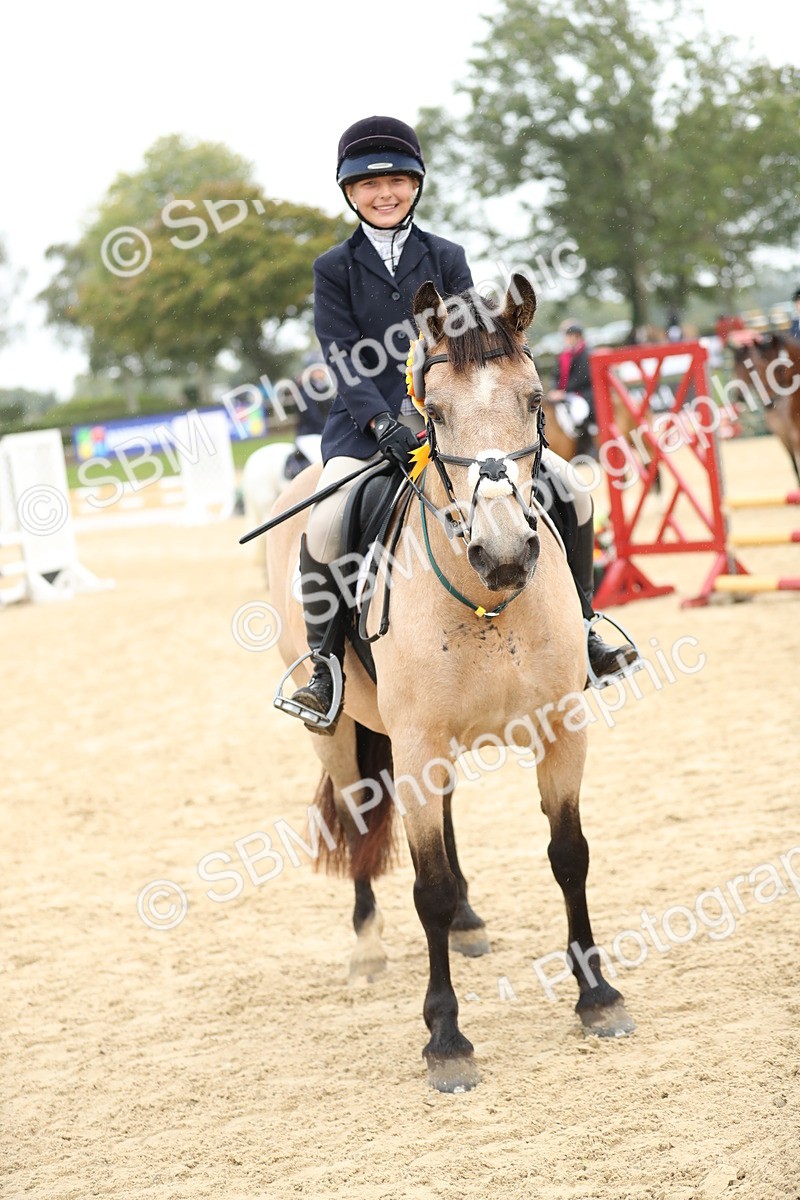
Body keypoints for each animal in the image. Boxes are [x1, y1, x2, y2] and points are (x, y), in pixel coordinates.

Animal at [266, 275, 634, 1092]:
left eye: (535, 399)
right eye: (432, 415)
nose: (504, 553)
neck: (489, 603)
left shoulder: (561, 729)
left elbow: (570, 855)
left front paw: (597, 995)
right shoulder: (416, 745)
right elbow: (425, 886)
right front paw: (445, 1038)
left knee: (449, 815)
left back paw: (469, 923)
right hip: (341, 737)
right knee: (357, 820)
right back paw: (367, 949)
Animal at [732, 332, 800, 486]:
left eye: (753, 367)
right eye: (735, 367)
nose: (739, 397)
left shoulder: (795, 437)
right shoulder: (784, 436)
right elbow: (794, 467)